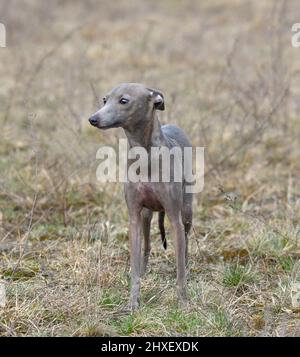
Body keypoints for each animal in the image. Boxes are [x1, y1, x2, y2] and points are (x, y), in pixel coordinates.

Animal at [88, 82, 192, 308]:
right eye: (104, 100)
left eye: (124, 100)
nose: (93, 119)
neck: (145, 155)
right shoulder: (134, 217)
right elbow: (135, 267)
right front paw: (133, 303)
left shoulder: (175, 218)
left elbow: (180, 270)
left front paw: (183, 302)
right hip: (146, 215)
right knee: (147, 246)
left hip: (187, 211)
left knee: (186, 242)